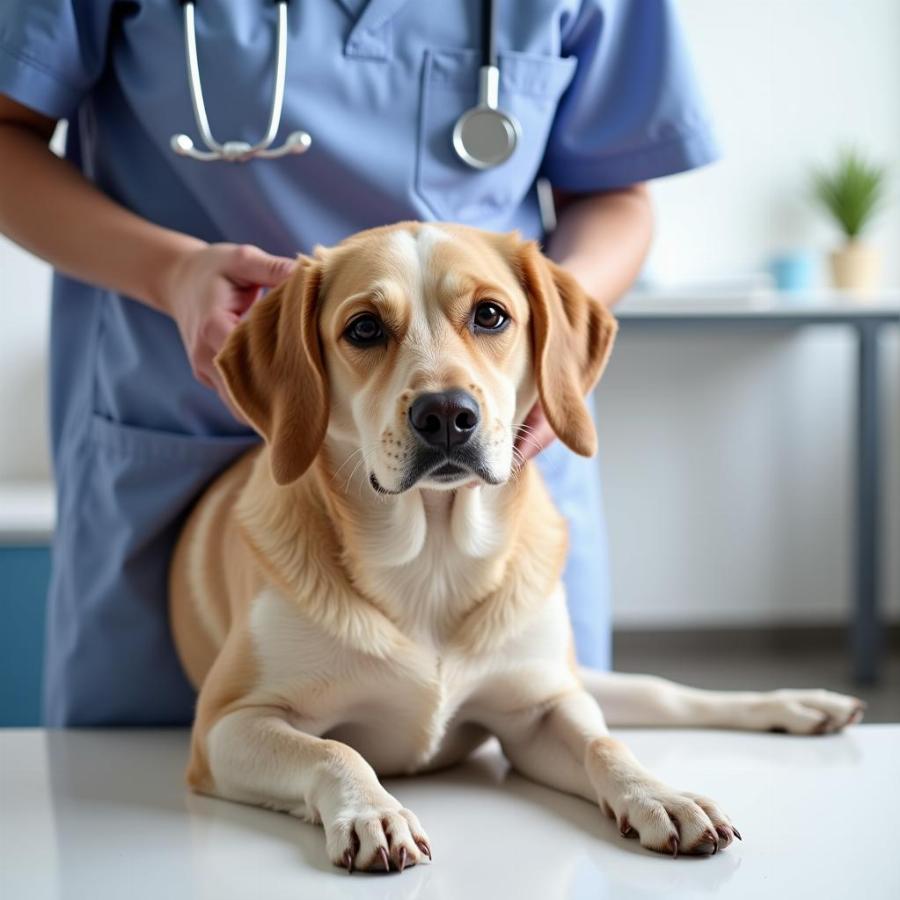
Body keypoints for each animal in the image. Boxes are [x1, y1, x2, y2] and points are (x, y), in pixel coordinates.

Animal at [169, 220, 864, 872]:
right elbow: (335, 749)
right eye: (364, 328)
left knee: (664, 694)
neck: (434, 558)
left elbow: (605, 744)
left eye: (490, 315)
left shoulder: (538, 709)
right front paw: (373, 812)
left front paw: (660, 796)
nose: (446, 415)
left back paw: (799, 704)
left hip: (569, 675)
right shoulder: (228, 725)